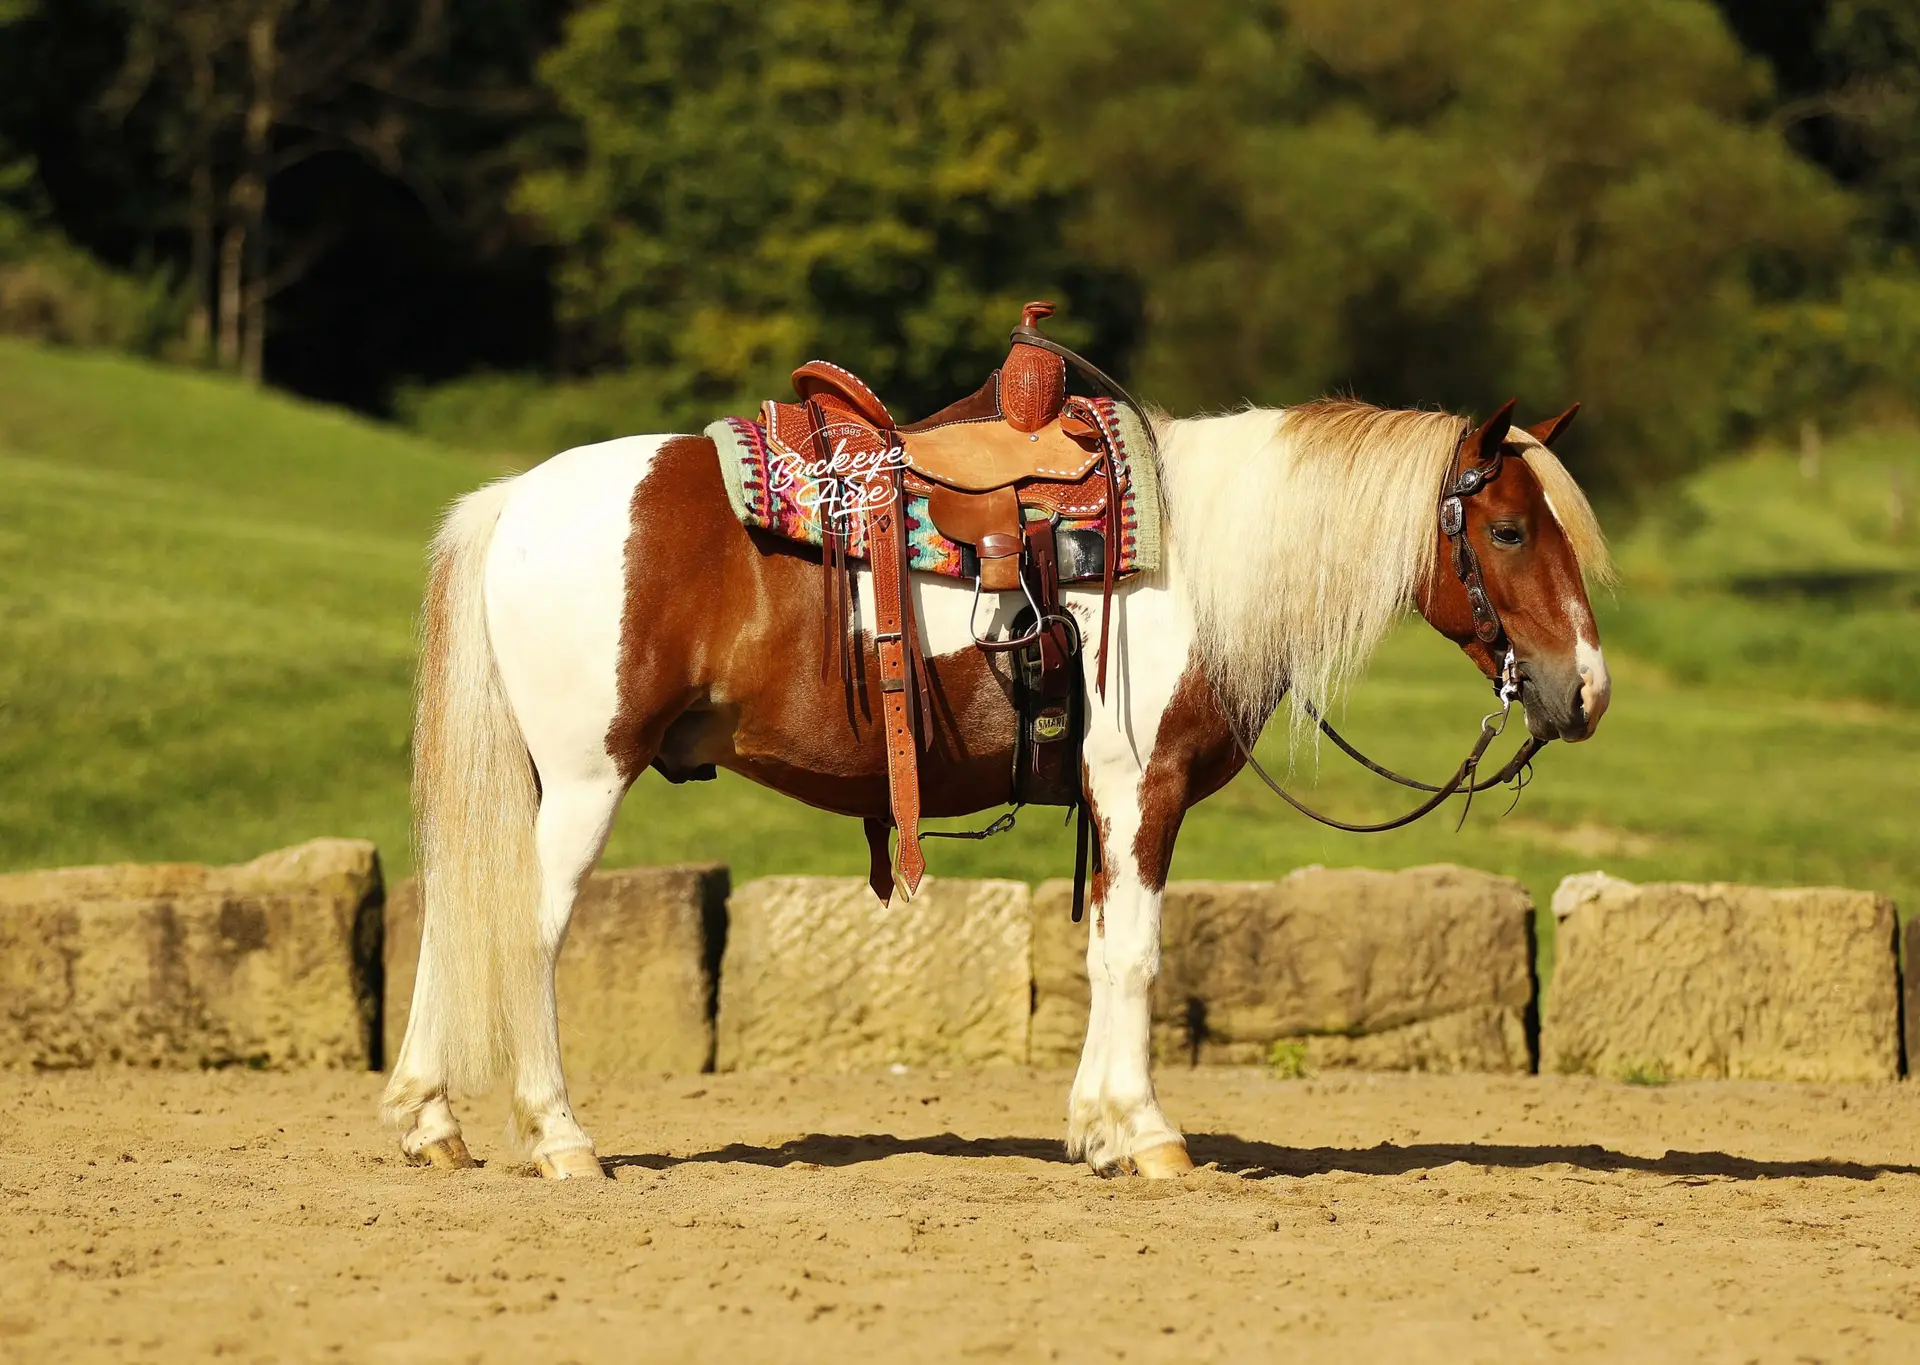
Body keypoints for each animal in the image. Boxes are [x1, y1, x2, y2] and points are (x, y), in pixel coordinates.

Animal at [381, 394, 1613, 1180]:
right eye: (1508, 529)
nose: (1586, 691)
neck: (1199, 565)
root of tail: (515, 500)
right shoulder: (1144, 788)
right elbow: (1137, 954)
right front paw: (1147, 1136)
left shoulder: (1111, 804)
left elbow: (1104, 949)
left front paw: (1097, 1131)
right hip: (587, 776)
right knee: (525, 934)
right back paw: (558, 1139)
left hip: (533, 781)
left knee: (454, 915)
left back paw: (430, 1122)